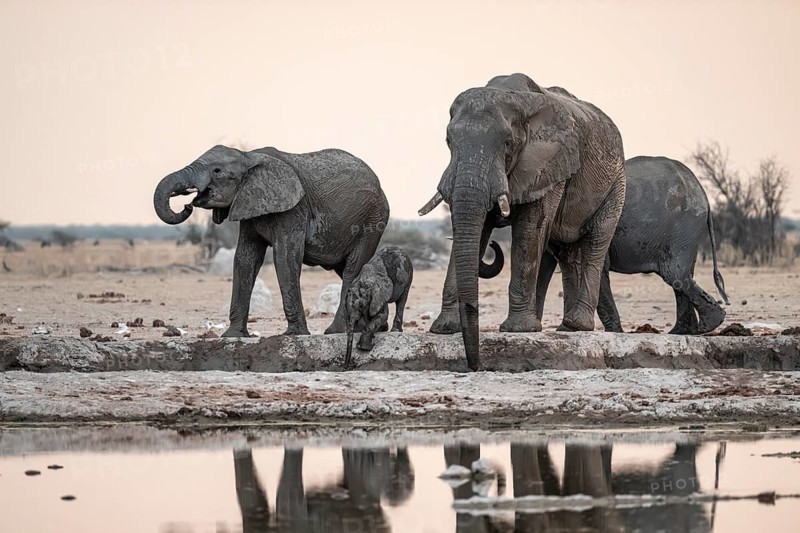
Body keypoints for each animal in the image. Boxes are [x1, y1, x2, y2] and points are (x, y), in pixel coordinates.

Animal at [153, 144, 389, 336]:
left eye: (217, 171)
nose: (187, 204)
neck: (248, 156)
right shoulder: (249, 205)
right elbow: (245, 258)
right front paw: (232, 336)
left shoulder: (294, 209)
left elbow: (285, 257)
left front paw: (294, 335)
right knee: (347, 269)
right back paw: (378, 328)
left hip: (371, 220)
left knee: (352, 269)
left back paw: (336, 331)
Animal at [419, 73, 626, 370]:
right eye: (448, 141)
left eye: (508, 143)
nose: (475, 367)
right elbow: (477, 228)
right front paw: (444, 329)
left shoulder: (547, 165)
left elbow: (529, 230)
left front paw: (519, 330)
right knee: (567, 254)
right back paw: (566, 328)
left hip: (616, 184)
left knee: (595, 243)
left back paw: (576, 325)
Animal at [536, 156, 730, 334]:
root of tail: (702, 191)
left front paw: (611, 333)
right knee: (681, 277)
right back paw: (682, 331)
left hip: (684, 227)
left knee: (674, 273)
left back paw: (704, 326)